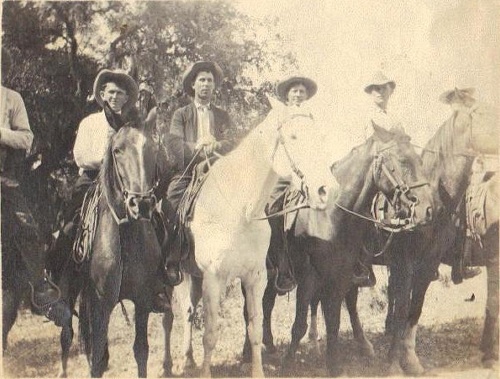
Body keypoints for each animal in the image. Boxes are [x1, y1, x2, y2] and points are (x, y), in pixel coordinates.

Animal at [164, 108, 340, 378]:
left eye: (320, 136)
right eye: (293, 136)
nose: (327, 191)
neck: (242, 209)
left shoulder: (256, 277)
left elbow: (255, 327)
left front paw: (256, 370)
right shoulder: (214, 278)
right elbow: (210, 334)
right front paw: (206, 372)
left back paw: (190, 360)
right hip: (181, 275)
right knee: (186, 313)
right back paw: (185, 362)